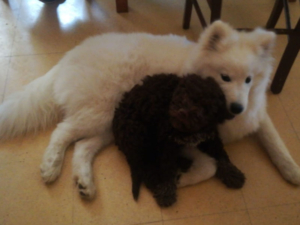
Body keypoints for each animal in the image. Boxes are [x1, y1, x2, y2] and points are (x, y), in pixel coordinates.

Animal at [112, 74, 246, 207]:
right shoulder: (166, 143)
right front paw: (166, 191)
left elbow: (220, 154)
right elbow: (167, 167)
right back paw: (160, 183)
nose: (182, 112)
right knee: (147, 168)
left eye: (205, 107)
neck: (188, 131)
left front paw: (232, 173)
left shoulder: (210, 136)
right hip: (139, 134)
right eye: (184, 94)